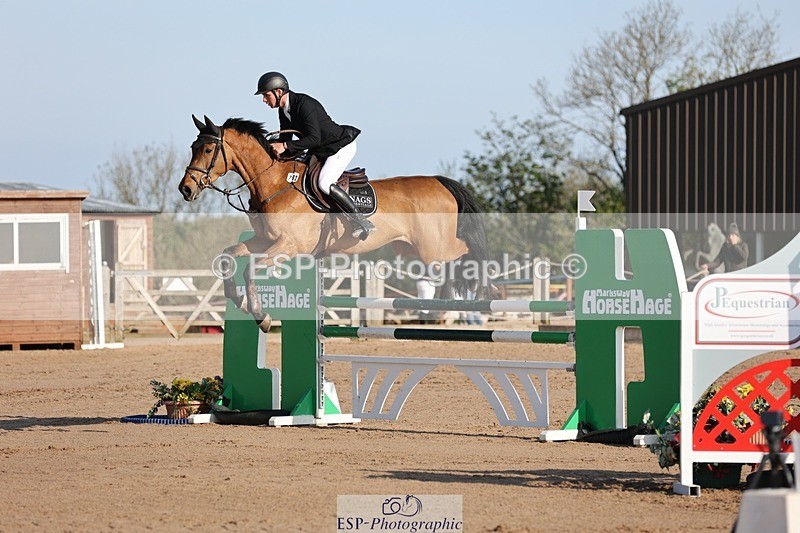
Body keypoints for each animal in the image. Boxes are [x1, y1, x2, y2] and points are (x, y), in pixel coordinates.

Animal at [178, 115, 493, 331]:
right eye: (193, 147)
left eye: (208, 150)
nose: (186, 189)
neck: (275, 183)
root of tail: (440, 181)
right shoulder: (264, 241)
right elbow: (228, 257)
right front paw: (239, 300)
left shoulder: (290, 246)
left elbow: (250, 269)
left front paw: (262, 316)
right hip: (411, 249)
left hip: (433, 249)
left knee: (469, 250)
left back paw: (481, 286)